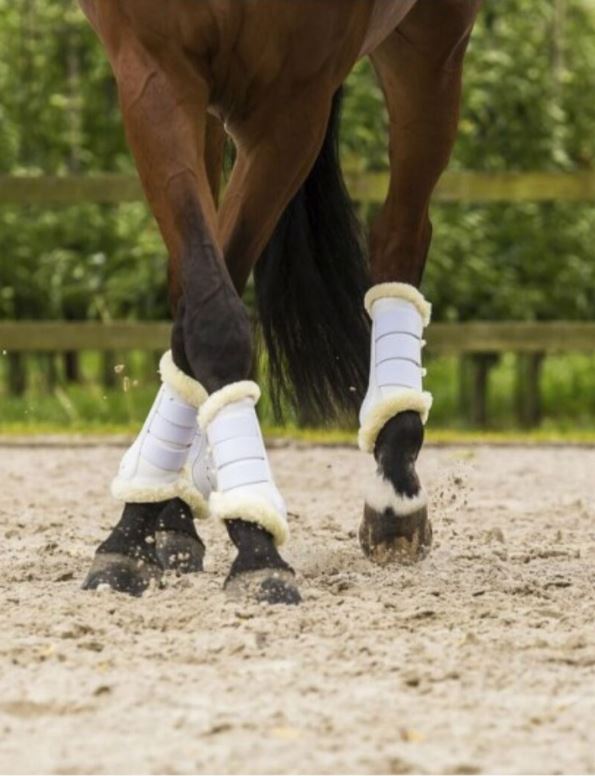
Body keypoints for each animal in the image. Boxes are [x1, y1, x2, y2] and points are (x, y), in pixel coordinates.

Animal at [80, 0, 482, 604]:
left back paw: (394, 488)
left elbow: (211, 315)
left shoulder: (290, 106)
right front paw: (142, 525)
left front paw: (252, 543)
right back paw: (176, 510)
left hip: (433, 41)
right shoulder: (153, 69)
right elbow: (203, 307)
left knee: (402, 236)